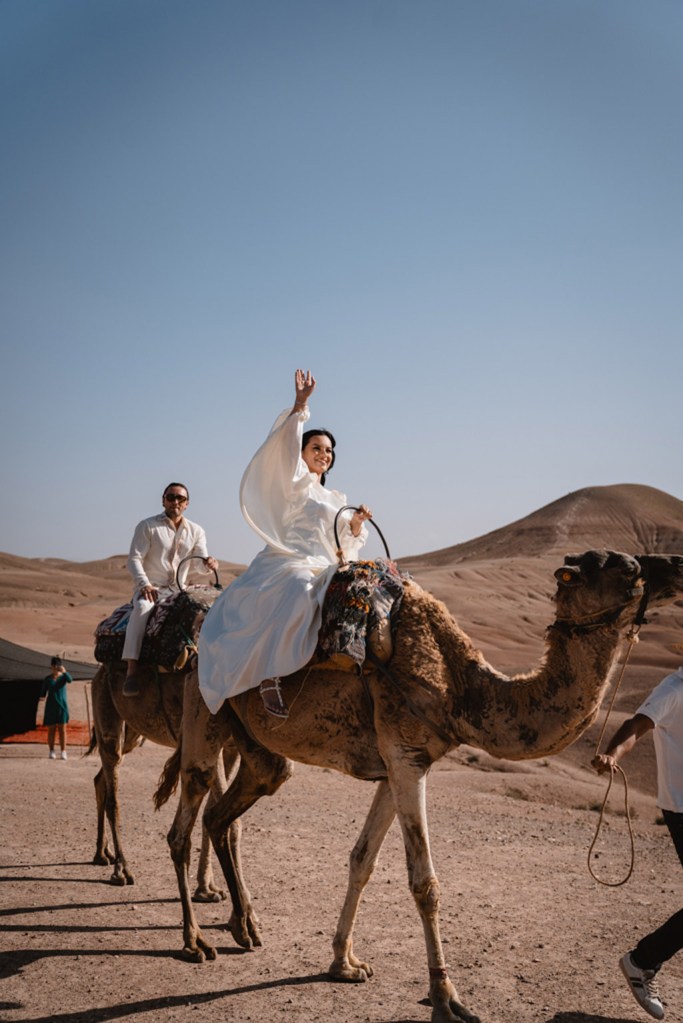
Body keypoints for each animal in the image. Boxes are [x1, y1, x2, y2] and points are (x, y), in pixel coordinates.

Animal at [88, 658, 237, 900]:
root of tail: (97, 673)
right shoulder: (207, 742)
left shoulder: (232, 747)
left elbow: (212, 813)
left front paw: (207, 889)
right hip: (105, 711)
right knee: (113, 798)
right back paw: (122, 870)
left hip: (132, 732)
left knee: (100, 780)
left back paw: (102, 854)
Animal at [154, 552, 683, 1023]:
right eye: (628, 567)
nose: (677, 563)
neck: (459, 687)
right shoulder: (407, 758)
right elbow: (425, 883)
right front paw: (446, 998)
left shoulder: (396, 767)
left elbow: (362, 861)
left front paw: (344, 963)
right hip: (203, 705)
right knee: (183, 821)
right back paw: (195, 941)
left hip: (256, 743)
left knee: (228, 810)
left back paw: (245, 928)